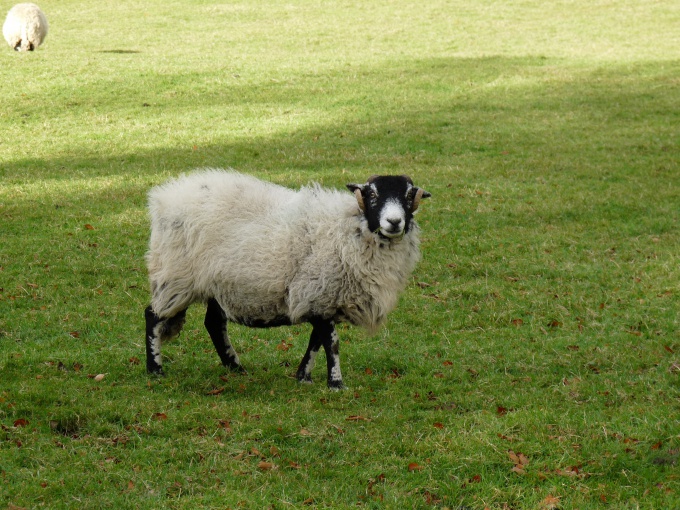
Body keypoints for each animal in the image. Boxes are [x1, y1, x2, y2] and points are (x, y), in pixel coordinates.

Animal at [143, 169, 430, 388]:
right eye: (372, 194)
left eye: (408, 195)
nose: (394, 222)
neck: (348, 229)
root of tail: (164, 197)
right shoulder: (320, 293)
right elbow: (332, 343)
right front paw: (336, 383)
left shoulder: (322, 299)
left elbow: (316, 340)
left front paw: (304, 376)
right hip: (175, 275)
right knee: (153, 316)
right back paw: (155, 369)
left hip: (217, 282)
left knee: (214, 324)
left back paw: (235, 367)